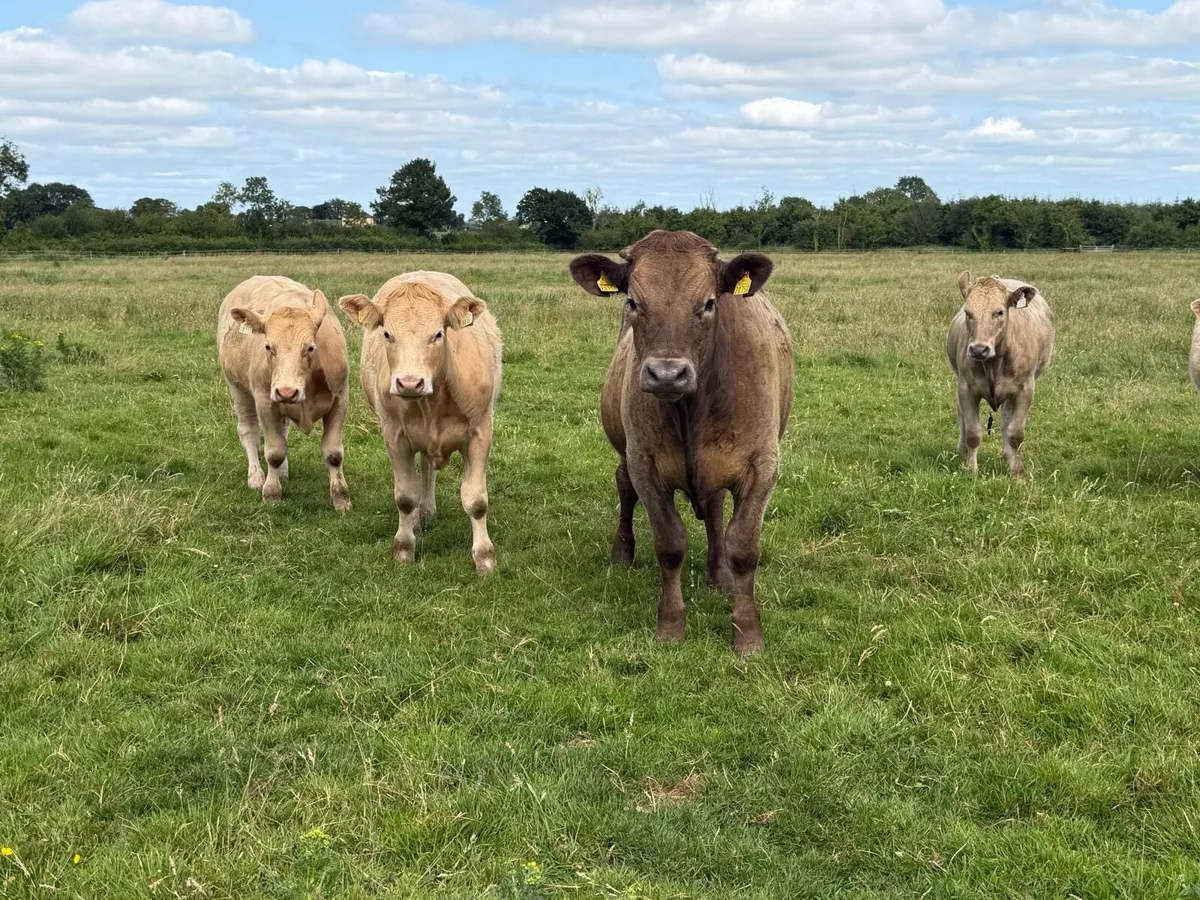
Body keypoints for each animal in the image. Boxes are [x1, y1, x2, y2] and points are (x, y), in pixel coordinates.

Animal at [217, 275, 350, 511]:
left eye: (310, 347)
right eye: (268, 347)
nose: (286, 391)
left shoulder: (340, 399)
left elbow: (334, 453)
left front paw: (341, 497)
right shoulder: (265, 401)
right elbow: (274, 452)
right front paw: (271, 492)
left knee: (283, 430)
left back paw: (282, 472)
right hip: (238, 389)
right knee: (249, 431)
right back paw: (256, 476)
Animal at [338, 272, 501, 573]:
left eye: (438, 334)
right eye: (387, 334)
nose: (410, 383)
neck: (432, 402)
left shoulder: (480, 432)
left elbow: (476, 501)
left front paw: (484, 556)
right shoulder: (395, 435)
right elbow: (405, 496)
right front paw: (404, 547)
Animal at [570, 230, 794, 657]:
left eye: (708, 303)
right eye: (633, 302)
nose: (667, 374)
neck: (692, 406)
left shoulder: (763, 464)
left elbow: (743, 547)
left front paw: (747, 632)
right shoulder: (645, 463)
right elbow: (670, 544)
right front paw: (671, 625)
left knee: (717, 510)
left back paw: (719, 574)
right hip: (625, 451)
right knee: (624, 488)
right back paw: (622, 553)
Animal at [947, 271, 1054, 479]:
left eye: (1000, 312)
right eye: (968, 313)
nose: (979, 349)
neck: (994, 363)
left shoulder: (1025, 389)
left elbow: (1015, 433)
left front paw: (1017, 473)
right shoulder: (966, 388)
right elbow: (973, 433)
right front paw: (971, 471)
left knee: (1006, 419)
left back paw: (1008, 456)